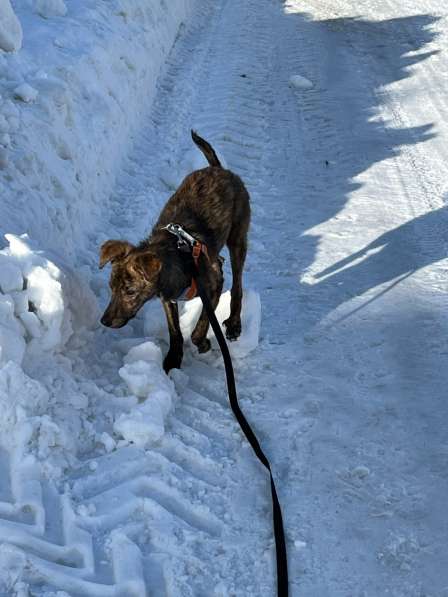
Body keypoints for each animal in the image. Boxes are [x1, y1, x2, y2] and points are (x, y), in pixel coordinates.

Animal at [99, 131, 250, 372]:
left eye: (130, 291)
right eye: (111, 288)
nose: (104, 321)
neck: (179, 258)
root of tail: (219, 169)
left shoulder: (215, 285)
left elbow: (201, 324)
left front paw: (203, 343)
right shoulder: (168, 298)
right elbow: (175, 331)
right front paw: (173, 359)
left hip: (238, 237)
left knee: (238, 284)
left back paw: (235, 324)